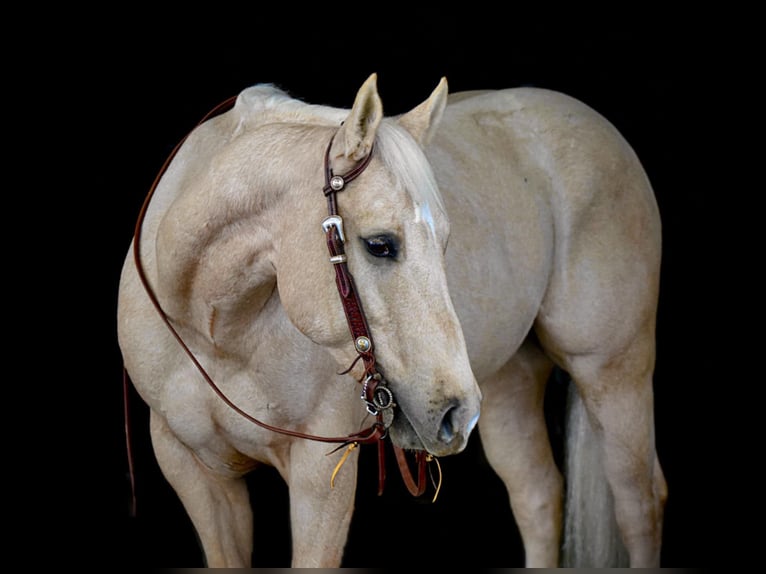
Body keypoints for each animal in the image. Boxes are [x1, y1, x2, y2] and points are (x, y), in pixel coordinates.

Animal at [117, 74, 668, 568]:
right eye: (380, 245)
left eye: (445, 242)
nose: (455, 412)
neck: (216, 333)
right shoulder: (194, 471)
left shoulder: (321, 478)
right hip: (510, 380)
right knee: (538, 495)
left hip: (612, 372)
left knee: (639, 503)